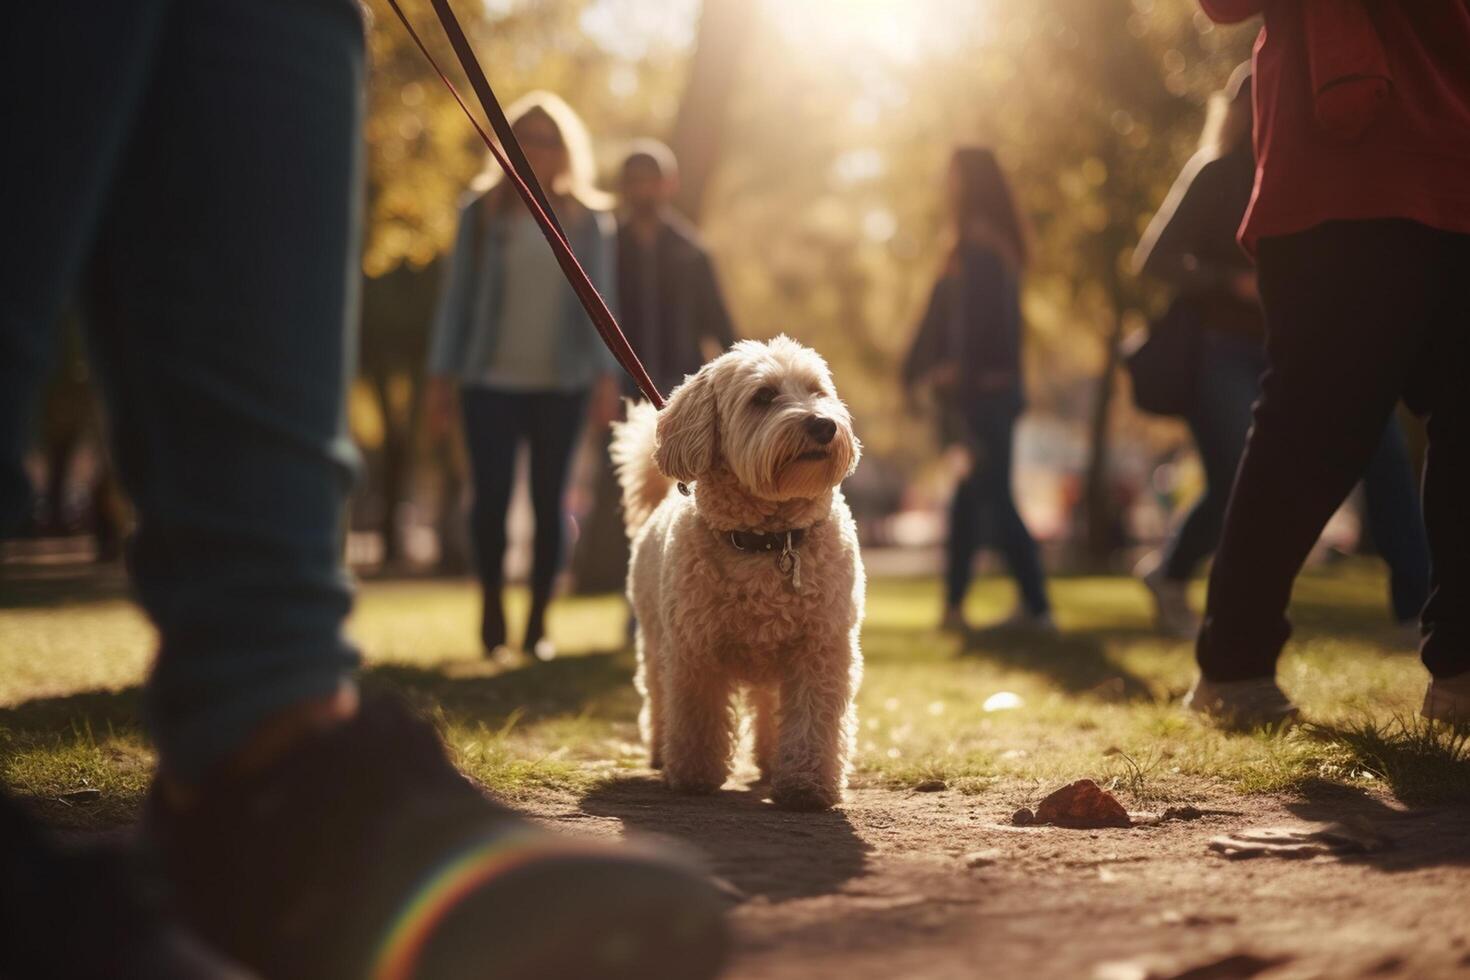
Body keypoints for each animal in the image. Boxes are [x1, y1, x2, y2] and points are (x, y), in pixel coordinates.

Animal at [608, 337, 858, 811]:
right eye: (763, 396)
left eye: (817, 390)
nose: (823, 425)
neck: (770, 541)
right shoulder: (694, 650)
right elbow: (697, 714)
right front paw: (694, 774)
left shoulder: (820, 649)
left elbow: (813, 720)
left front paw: (807, 784)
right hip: (655, 642)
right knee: (659, 697)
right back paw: (662, 751)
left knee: (767, 707)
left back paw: (770, 758)